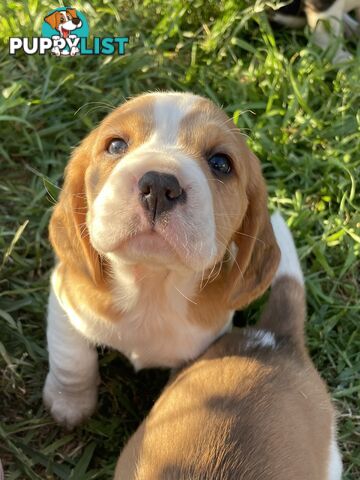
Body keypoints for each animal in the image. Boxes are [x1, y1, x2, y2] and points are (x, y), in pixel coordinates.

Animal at [43, 91, 282, 428]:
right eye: (115, 146)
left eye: (221, 163)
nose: (158, 184)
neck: (150, 284)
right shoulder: (66, 297)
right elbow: (72, 358)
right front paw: (70, 404)